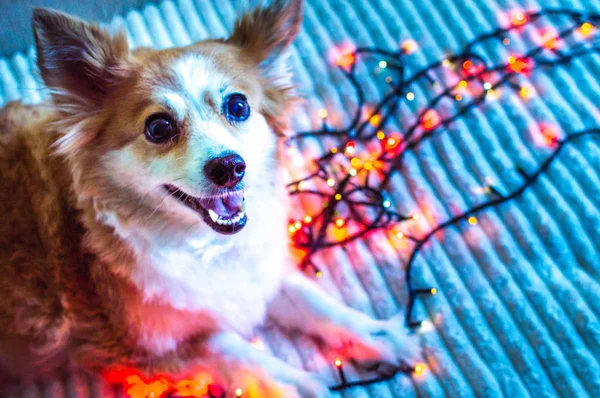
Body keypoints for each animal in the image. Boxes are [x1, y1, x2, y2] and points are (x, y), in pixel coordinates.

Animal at [0, 1, 420, 396]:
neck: (205, 246)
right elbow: (241, 354)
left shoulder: (254, 272)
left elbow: (309, 298)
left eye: (238, 106)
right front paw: (304, 385)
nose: (230, 167)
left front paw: (378, 335)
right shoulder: (147, 346)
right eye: (158, 127)